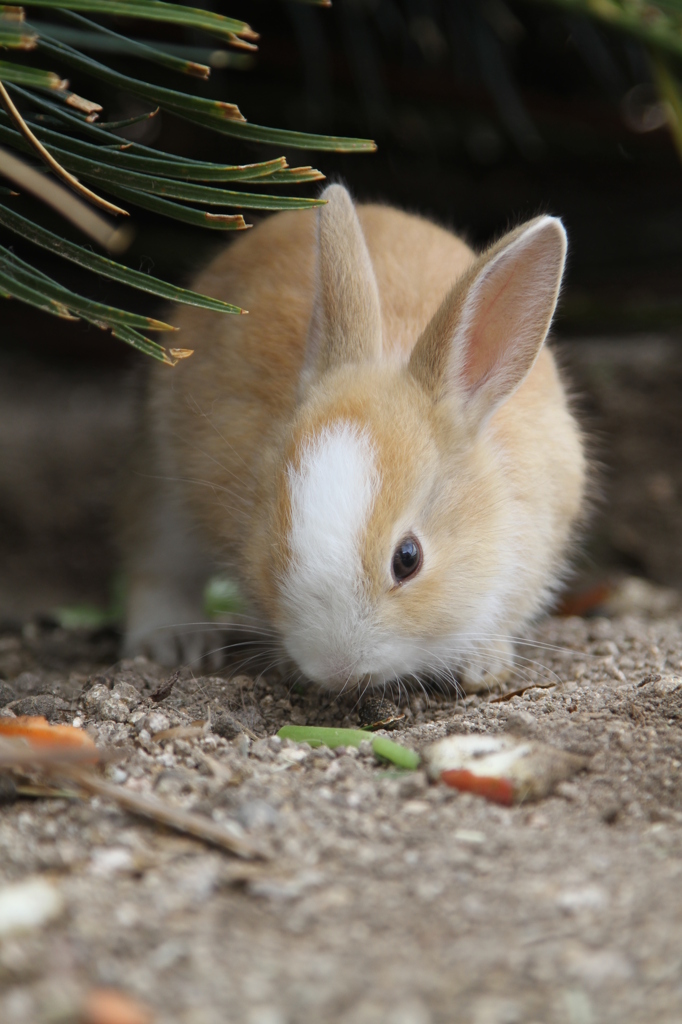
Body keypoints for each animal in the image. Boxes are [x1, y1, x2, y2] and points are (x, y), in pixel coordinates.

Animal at [118, 184, 585, 696]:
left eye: (408, 559)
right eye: (273, 537)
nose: (336, 669)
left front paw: (483, 665)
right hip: (164, 490)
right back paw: (173, 642)